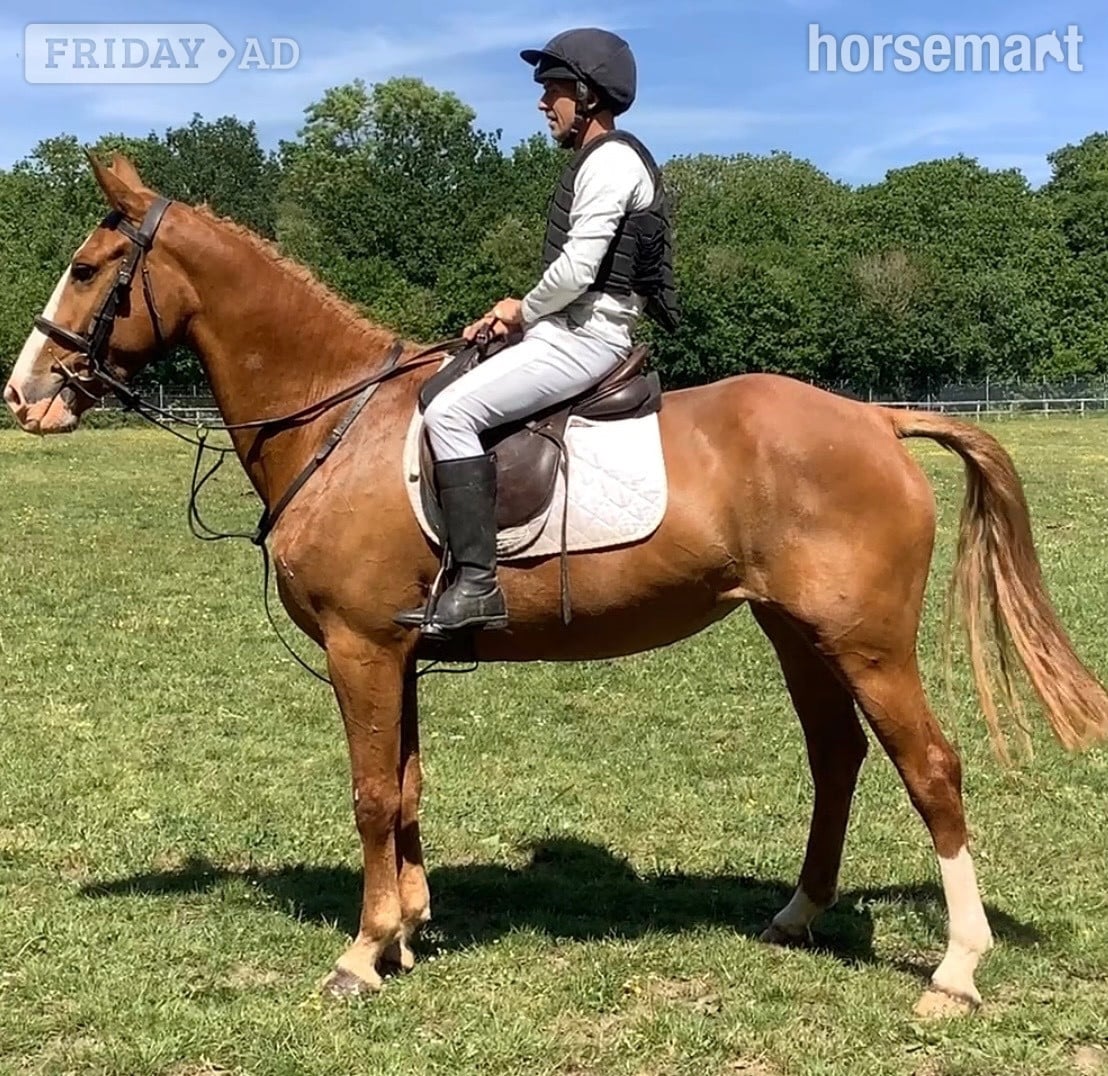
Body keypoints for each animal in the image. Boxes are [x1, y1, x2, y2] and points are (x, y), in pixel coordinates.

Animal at [5, 153, 1107, 1013]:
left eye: (87, 269)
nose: (23, 397)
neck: (337, 420)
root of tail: (875, 419)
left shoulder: (363, 648)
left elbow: (370, 793)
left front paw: (362, 953)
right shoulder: (399, 651)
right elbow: (406, 787)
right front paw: (408, 931)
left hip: (867, 642)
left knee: (931, 767)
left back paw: (955, 970)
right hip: (798, 634)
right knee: (837, 757)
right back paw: (797, 914)